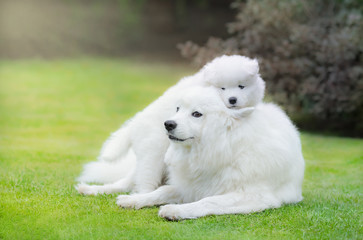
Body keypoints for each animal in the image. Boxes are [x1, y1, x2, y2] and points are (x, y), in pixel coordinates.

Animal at [75, 55, 266, 195]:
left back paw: (92, 189)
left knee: (127, 182)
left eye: (241, 86)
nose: (232, 100)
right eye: (223, 88)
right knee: (143, 182)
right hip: (152, 157)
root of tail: (133, 125)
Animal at [116, 87, 304, 220]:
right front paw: (133, 200)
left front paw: (175, 210)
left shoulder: (253, 196)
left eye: (196, 114)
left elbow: (208, 201)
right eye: (178, 109)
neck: (225, 148)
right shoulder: (190, 187)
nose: (168, 124)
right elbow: (162, 191)